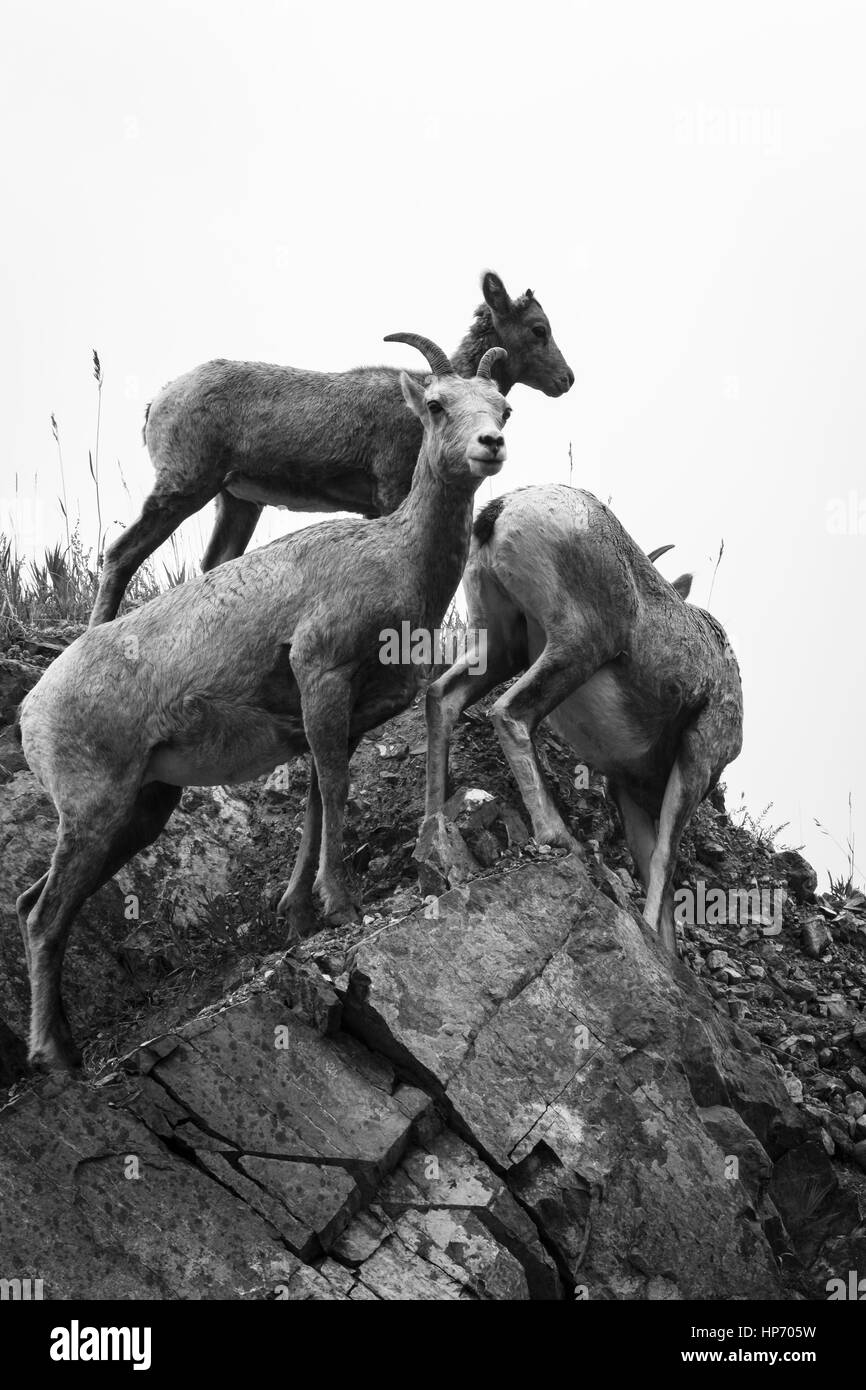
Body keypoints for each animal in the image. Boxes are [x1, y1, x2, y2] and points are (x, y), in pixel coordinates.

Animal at [15, 330, 514, 1067]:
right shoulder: (321, 675)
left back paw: (68, 1049)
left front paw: (300, 913)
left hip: (140, 812)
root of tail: (32, 706)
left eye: (504, 408)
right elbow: (335, 790)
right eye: (436, 404)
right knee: (46, 916)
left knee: (33, 906)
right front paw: (342, 907)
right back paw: (55, 1059)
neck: (397, 561)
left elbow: (315, 799)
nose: (490, 445)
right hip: (94, 811)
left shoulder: (340, 717)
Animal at [84, 269, 567, 625]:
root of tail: (157, 402)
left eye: (504, 410)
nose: (567, 379)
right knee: (122, 554)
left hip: (237, 502)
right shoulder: (392, 492)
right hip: (185, 486)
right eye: (538, 330)